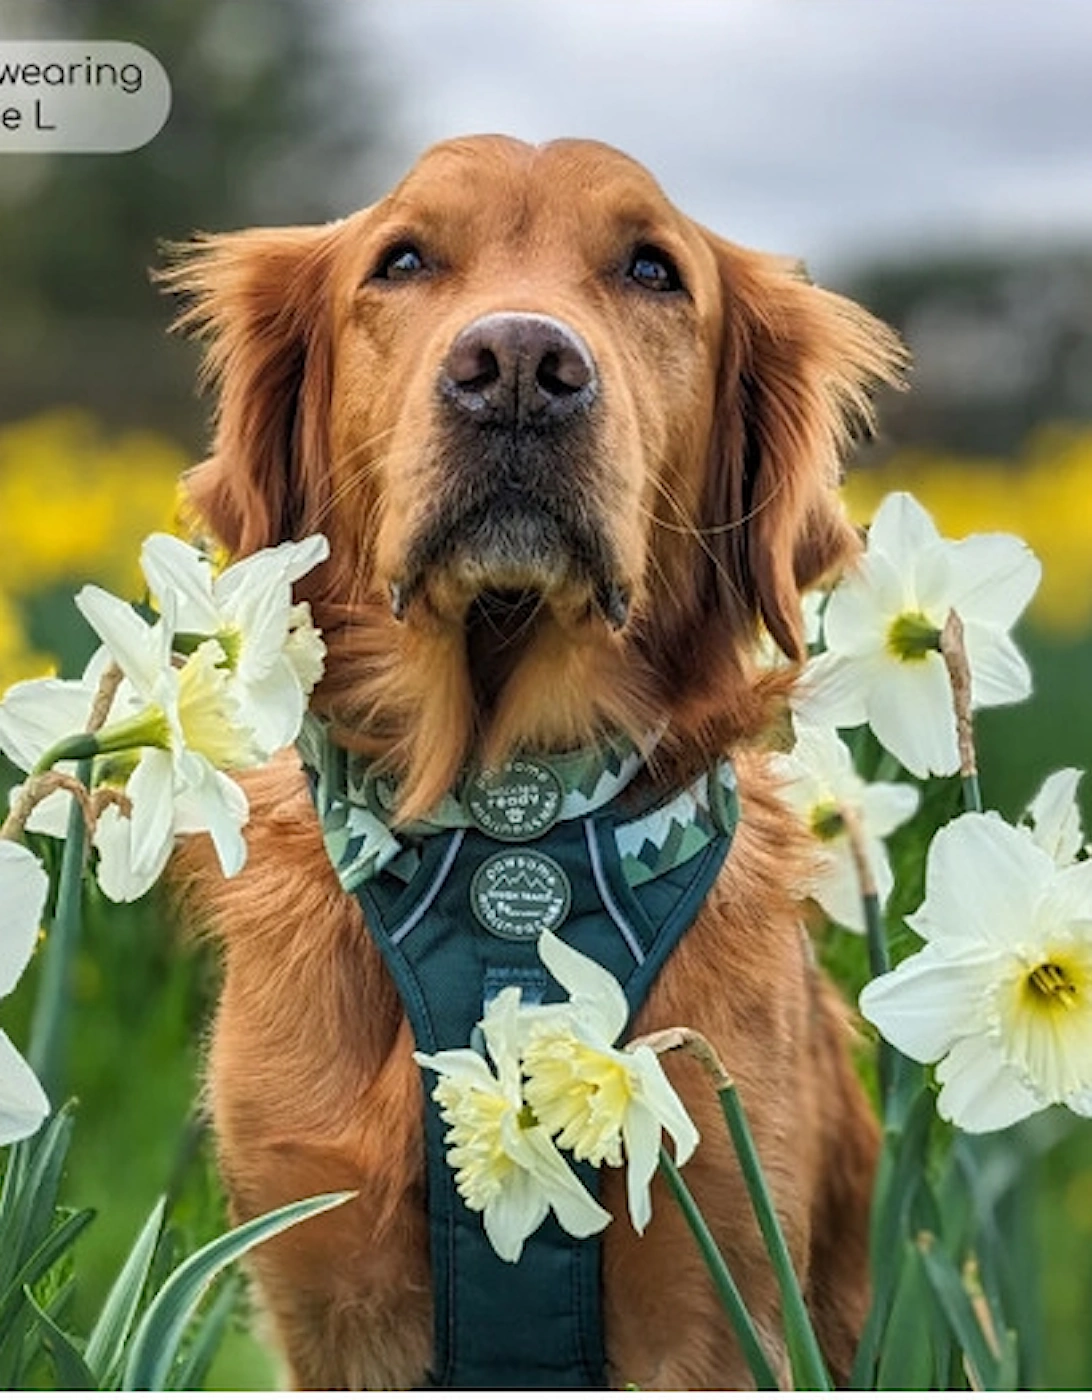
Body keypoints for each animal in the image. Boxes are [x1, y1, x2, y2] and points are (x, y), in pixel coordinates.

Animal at [168, 133, 901, 1388]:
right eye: (403, 259)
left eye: (653, 270)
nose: (518, 365)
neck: (505, 823)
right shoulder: (329, 1286)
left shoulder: (718, 1283)